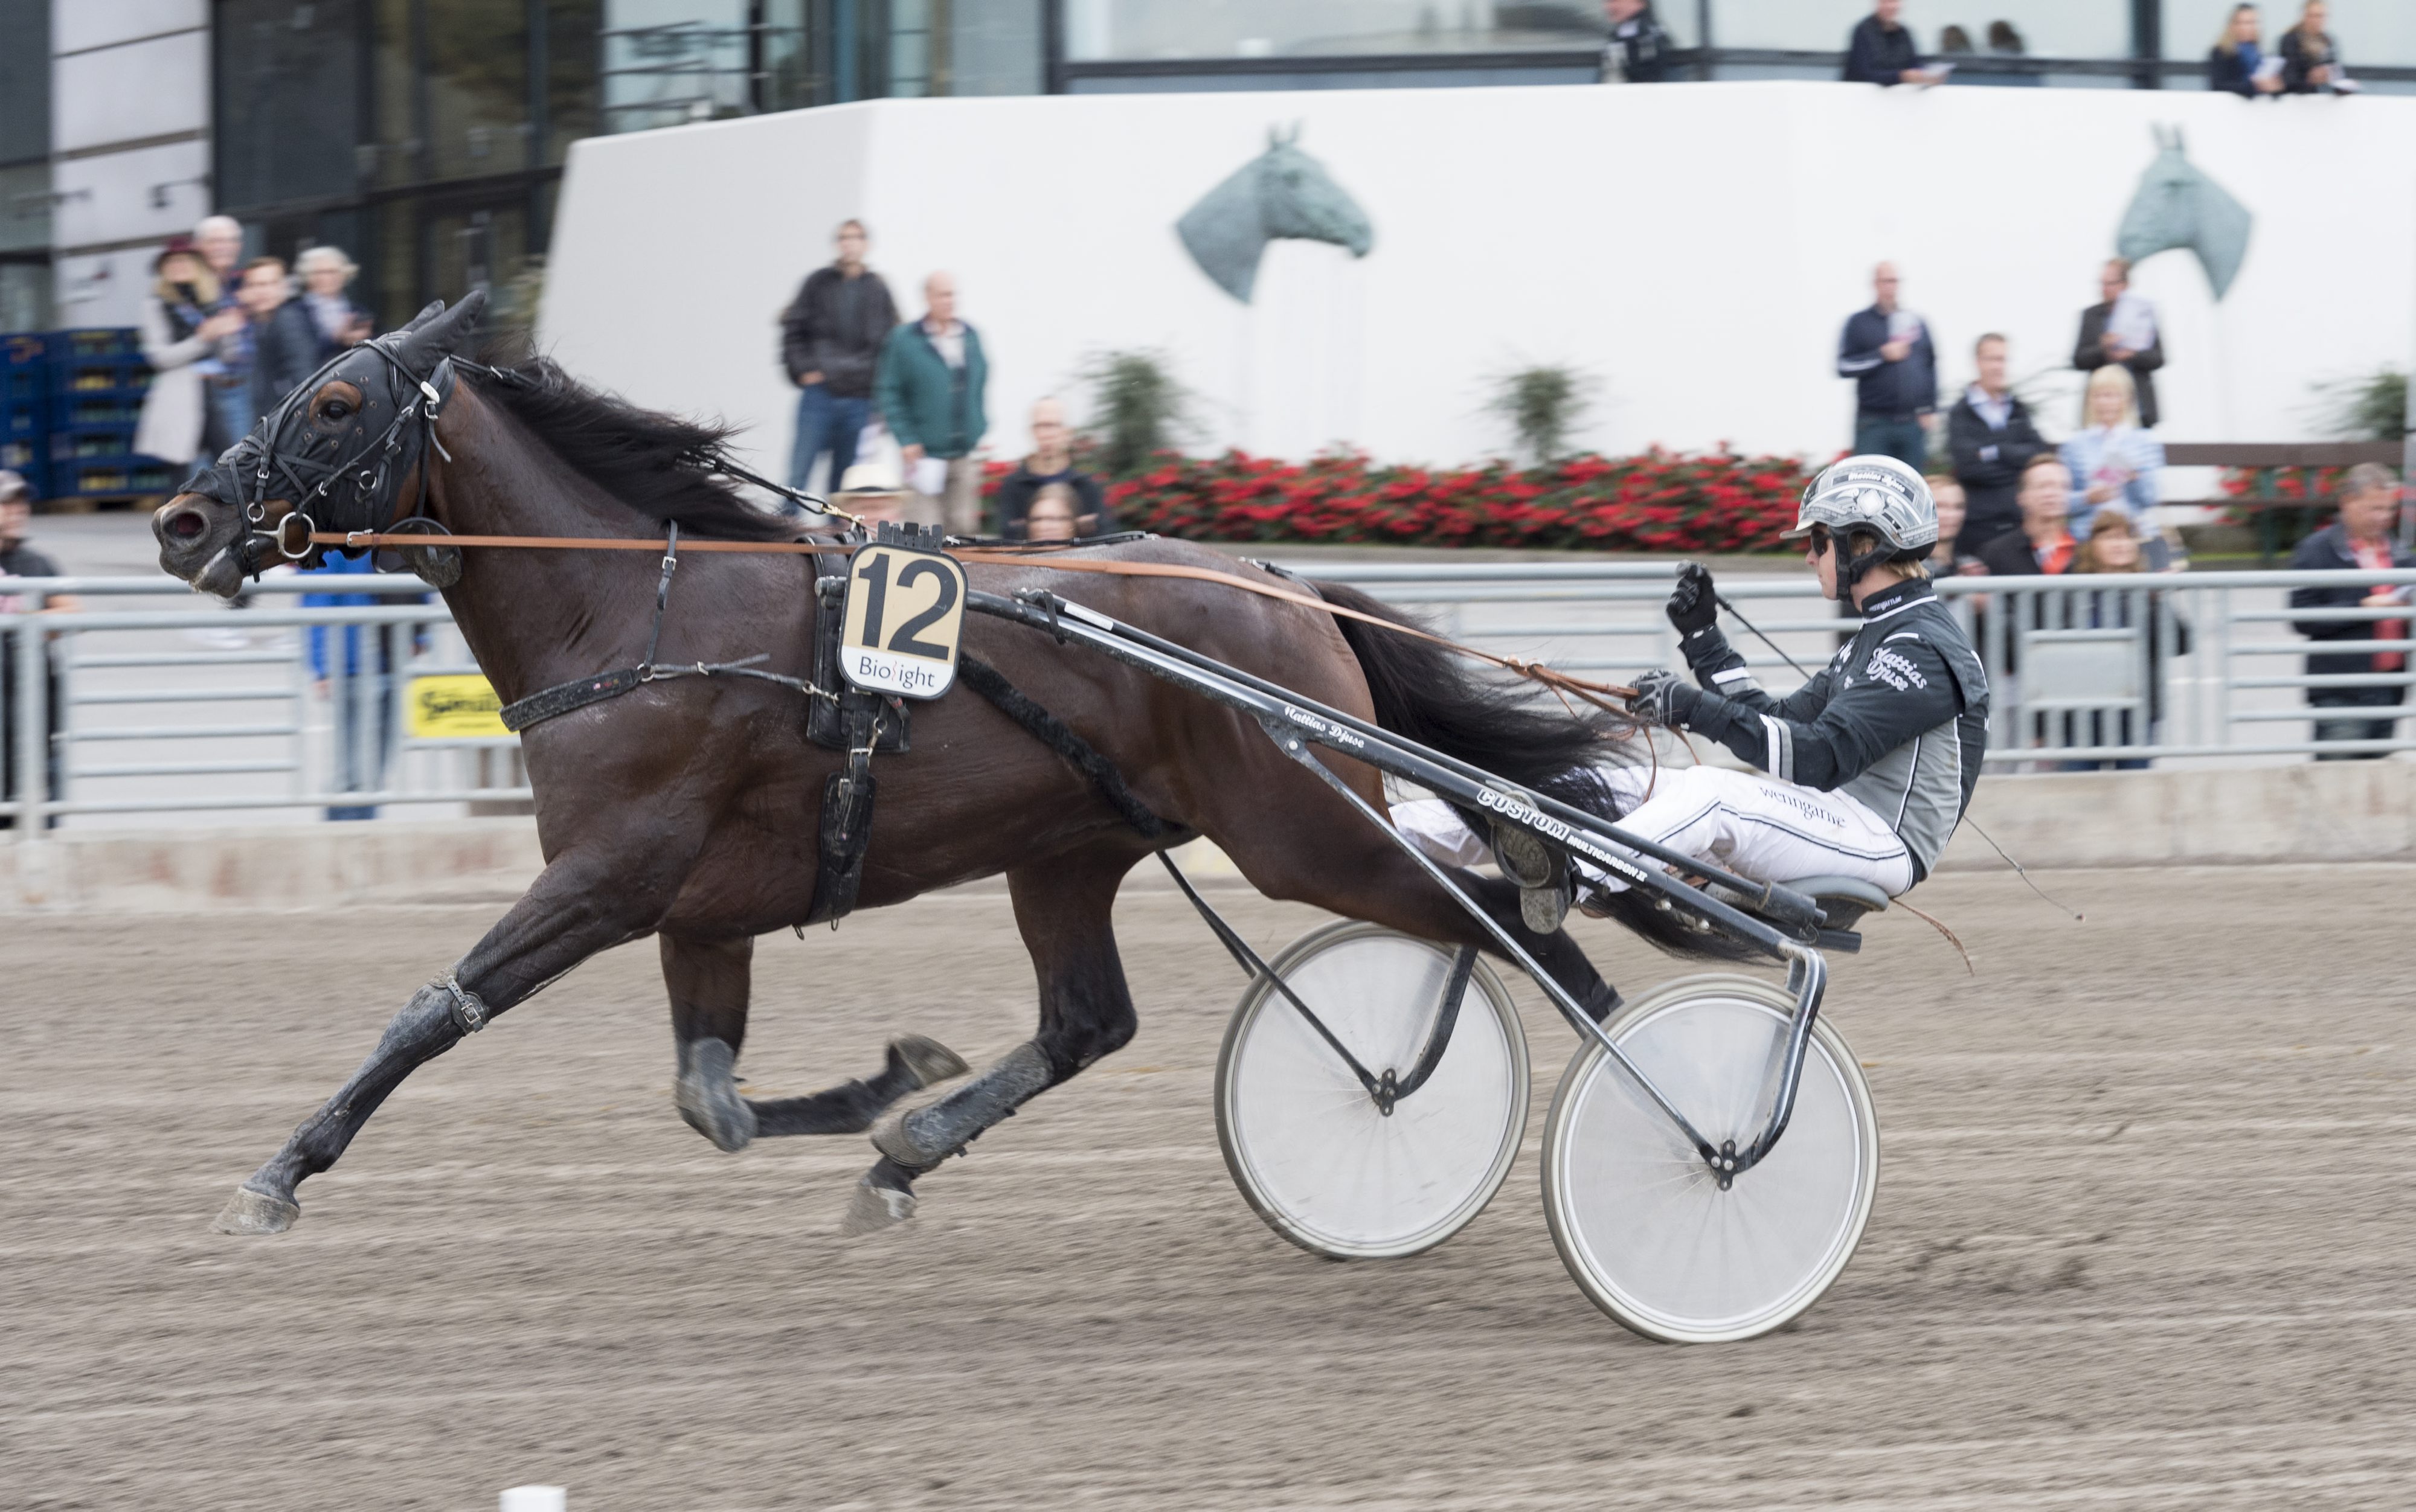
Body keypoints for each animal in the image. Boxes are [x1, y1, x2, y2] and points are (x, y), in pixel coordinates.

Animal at [151, 291, 1711, 1237]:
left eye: (335, 405)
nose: (184, 518)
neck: (637, 613)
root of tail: (1278, 582)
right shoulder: (698, 908)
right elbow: (709, 1097)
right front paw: (884, 1089)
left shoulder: (611, 876)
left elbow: (435, 1007)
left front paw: (278, 1174)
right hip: (1070, 848)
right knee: (1090, 1020)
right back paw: (908, 1151)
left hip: (1296, 834)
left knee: (1511, 924)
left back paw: (1673, 1123)